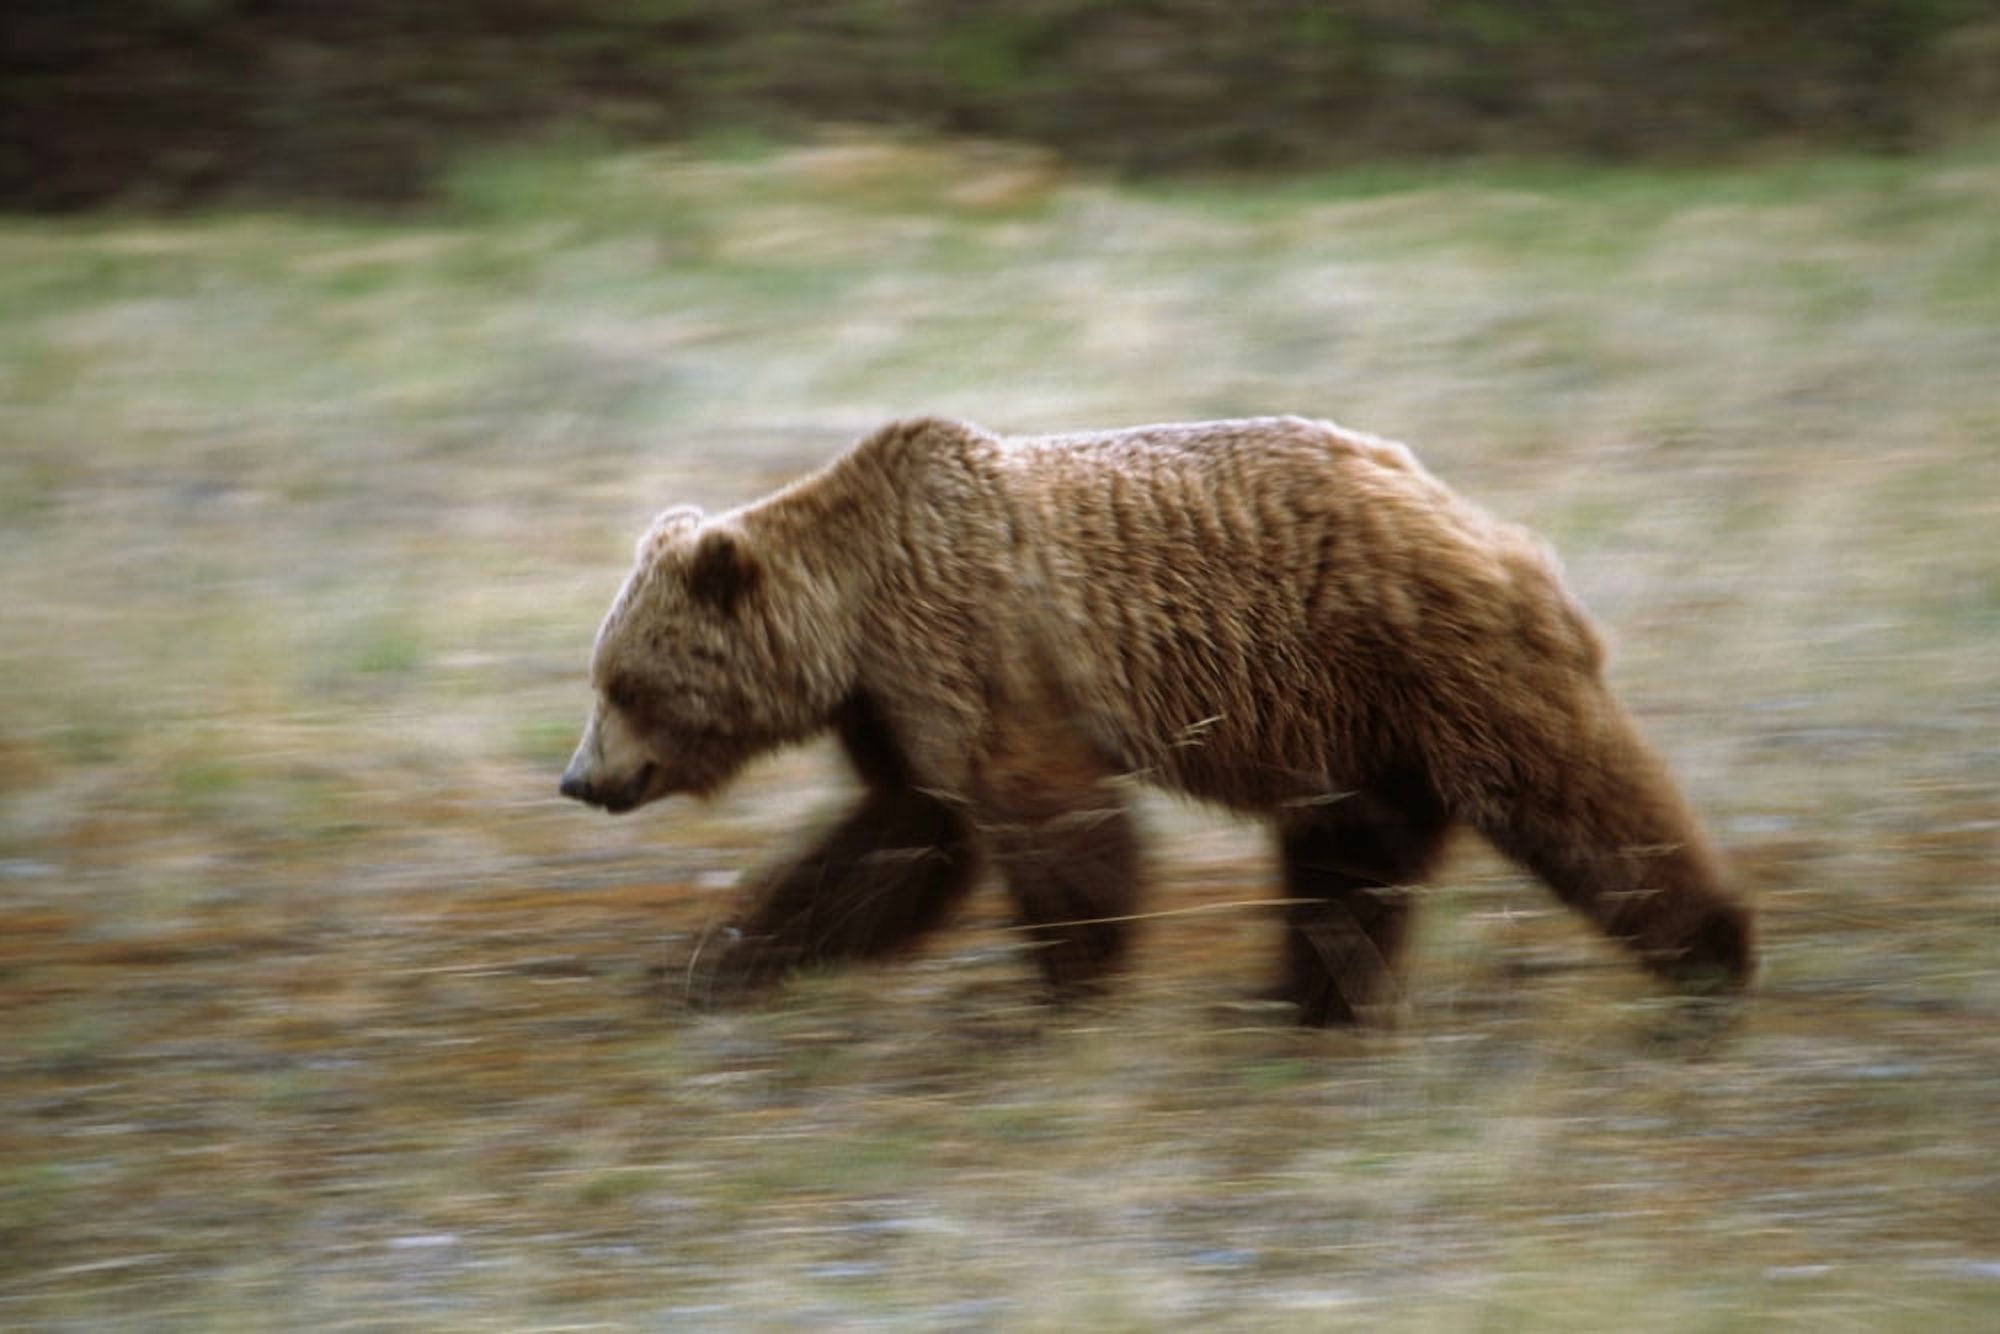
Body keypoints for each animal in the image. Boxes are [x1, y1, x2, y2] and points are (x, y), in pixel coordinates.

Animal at [560, 415, 1754, 1024]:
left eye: (623, 683)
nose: (579, 779)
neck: (852, 618)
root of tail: (1486, 520)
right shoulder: (894, 705)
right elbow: (897, 843)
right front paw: (718, 961)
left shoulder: (979, 648)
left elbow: (1050, 824)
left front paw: (1068, 984)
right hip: (1356, 718)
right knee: (1352, 849)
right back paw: (1315, 993)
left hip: (1424, 657)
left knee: (1572, 790)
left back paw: (1714, 947)